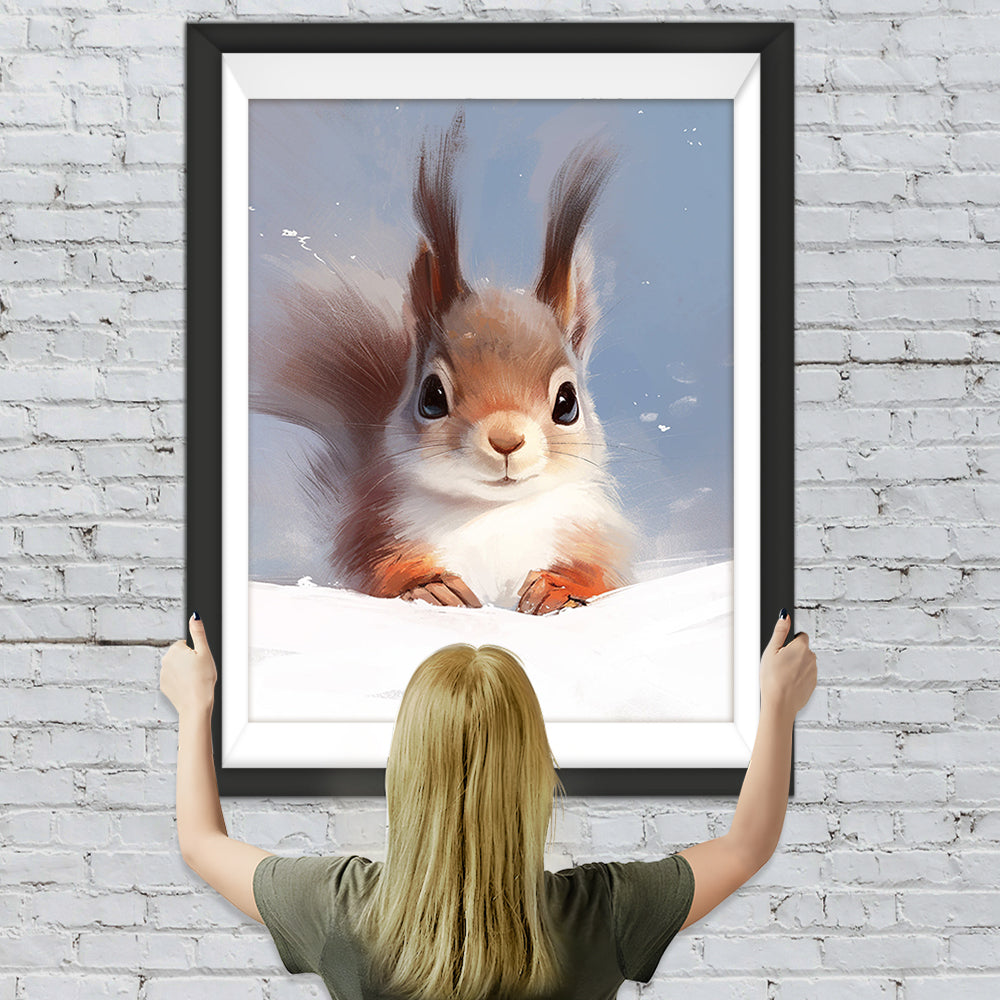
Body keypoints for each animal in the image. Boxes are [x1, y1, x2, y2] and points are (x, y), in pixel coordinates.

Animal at [250, 110, 637, 615]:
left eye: (567, 403)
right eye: (431, 398)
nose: (506, 440)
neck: (492, 511)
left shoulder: (593, 534)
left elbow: (602, 575)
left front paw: (557, 587)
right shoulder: (382, 529)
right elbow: (380, 572)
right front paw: (431, 587)